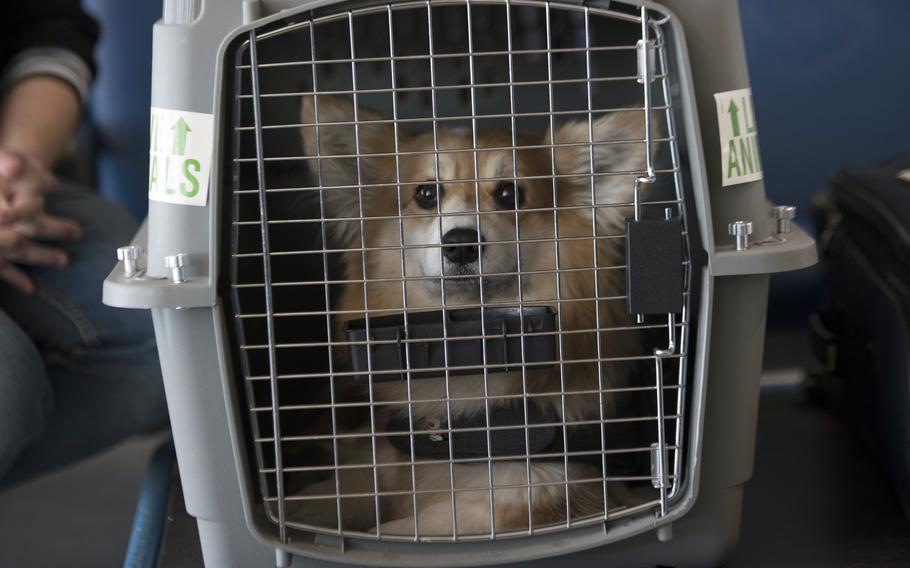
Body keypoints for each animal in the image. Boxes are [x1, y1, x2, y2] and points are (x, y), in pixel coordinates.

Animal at [294, 93, 656, 536]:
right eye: (426, 194)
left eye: (509, 194)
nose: (461, 243)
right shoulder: (380, 462)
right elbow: (331, 497)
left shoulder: (523, 496)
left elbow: (393, 530)